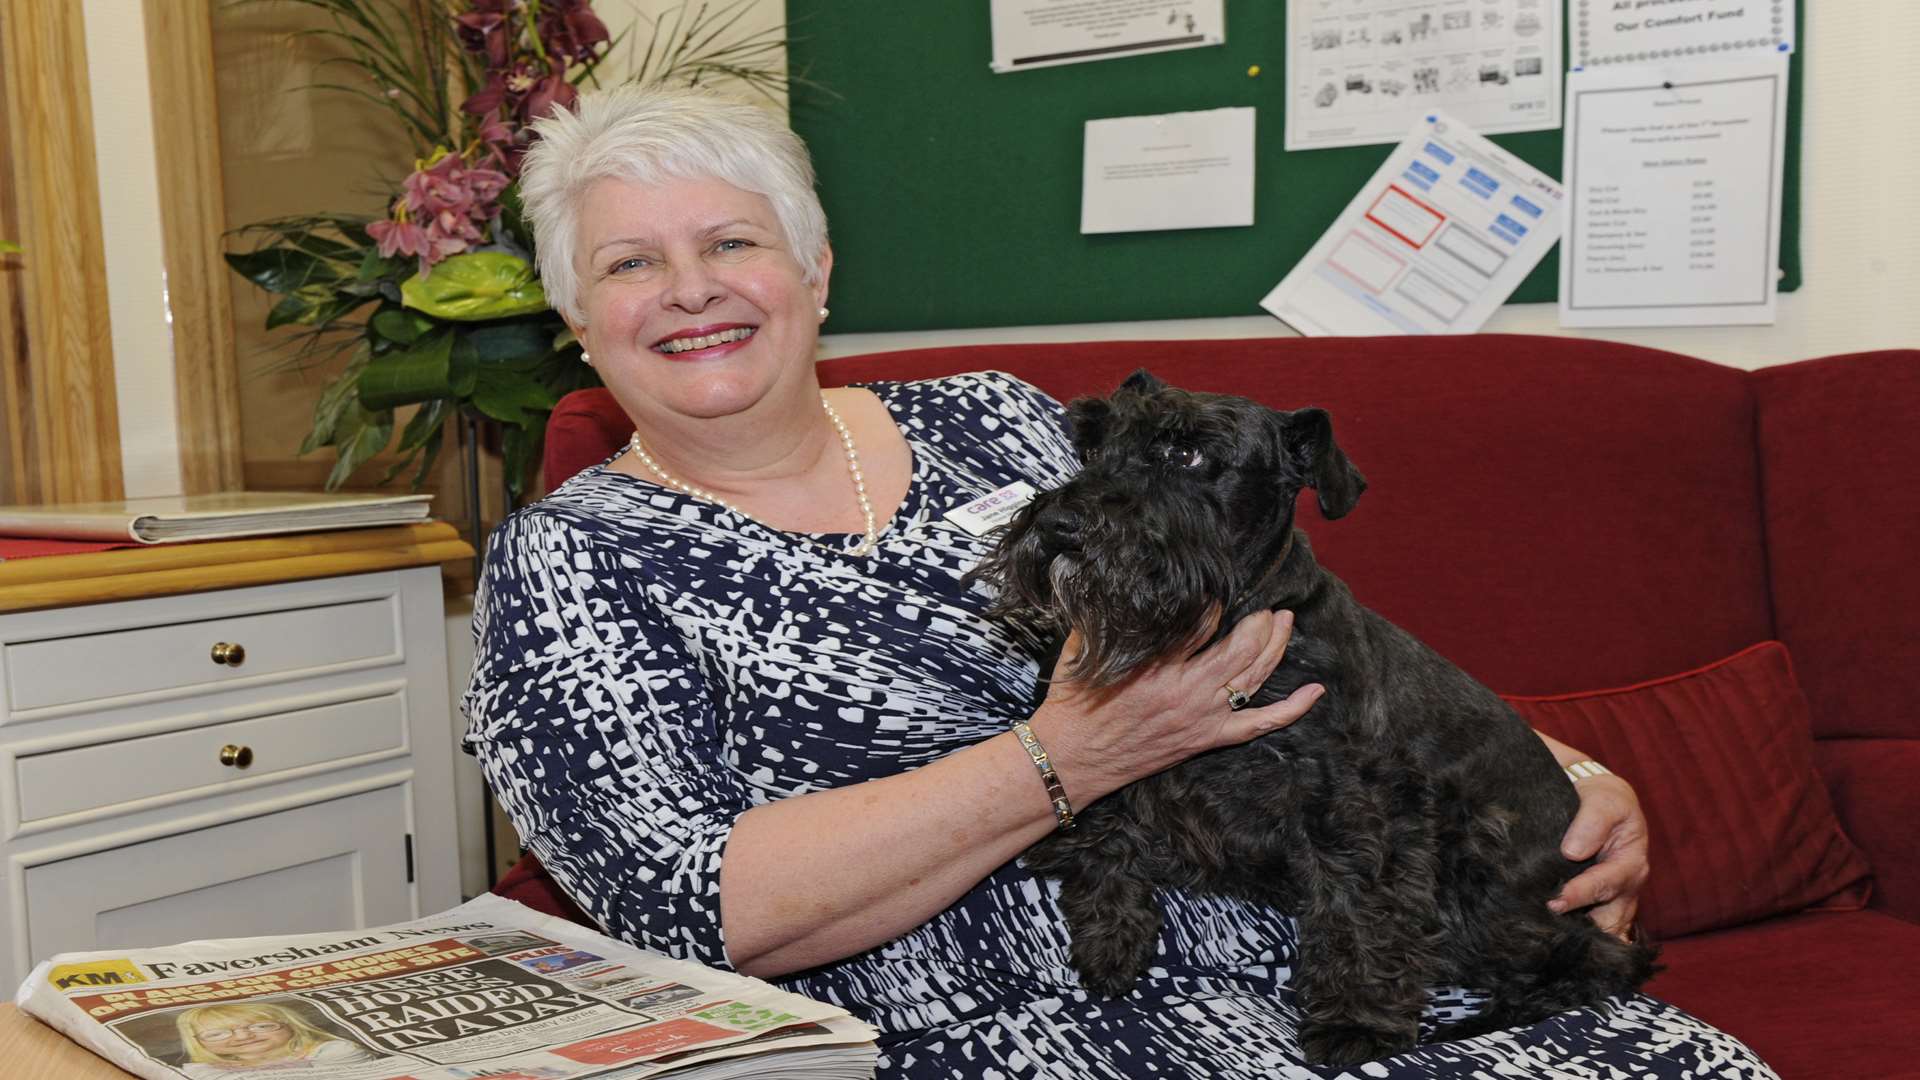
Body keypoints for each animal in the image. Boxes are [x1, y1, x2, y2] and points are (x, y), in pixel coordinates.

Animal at [967, 367, 1658, 1060]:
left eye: (1187, 453)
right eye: (1091, 447)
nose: (1059, 525)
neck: (1227, 620)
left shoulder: (1362, 806)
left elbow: (1358, 905)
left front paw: (1355, 1023)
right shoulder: (1122, 753)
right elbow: (1100, 825)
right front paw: (1111, 933)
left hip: (1479, 878)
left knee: (1605, 957)